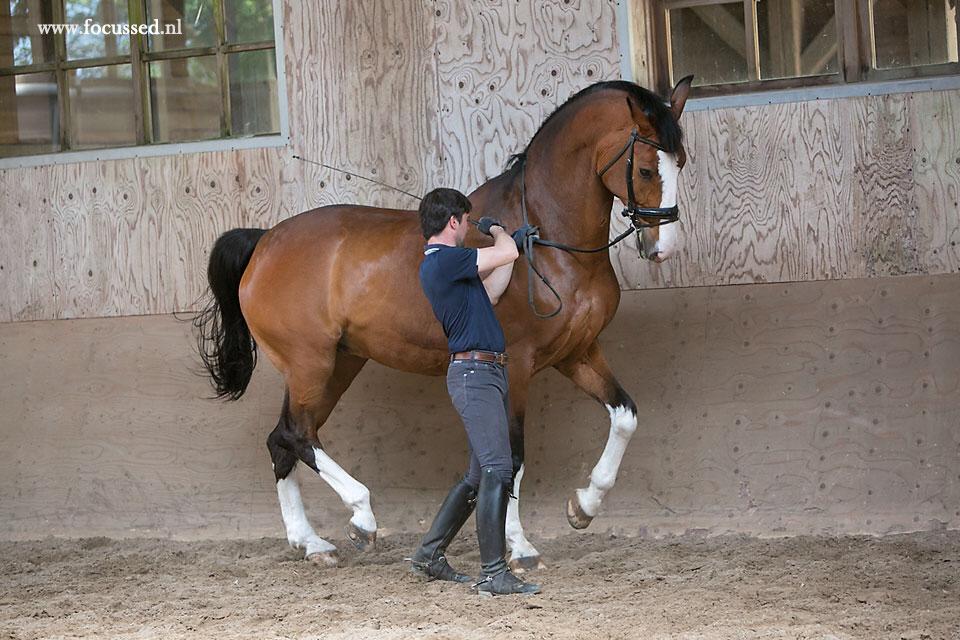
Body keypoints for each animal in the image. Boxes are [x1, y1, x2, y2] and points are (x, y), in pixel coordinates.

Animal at [195, 77, 688, 568]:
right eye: (647, 170)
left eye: (680, 162)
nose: (661, 247)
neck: (546, 241)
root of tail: (265, 241)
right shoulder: (517, 364)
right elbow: (512, 454)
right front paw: (521, 547)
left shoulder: (577, 353)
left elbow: (624, 416)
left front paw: (584, 506)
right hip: (309, 364)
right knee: (296, 434)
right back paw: (361, 517)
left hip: (337, 365)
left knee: (284, 439)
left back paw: (311, 543)